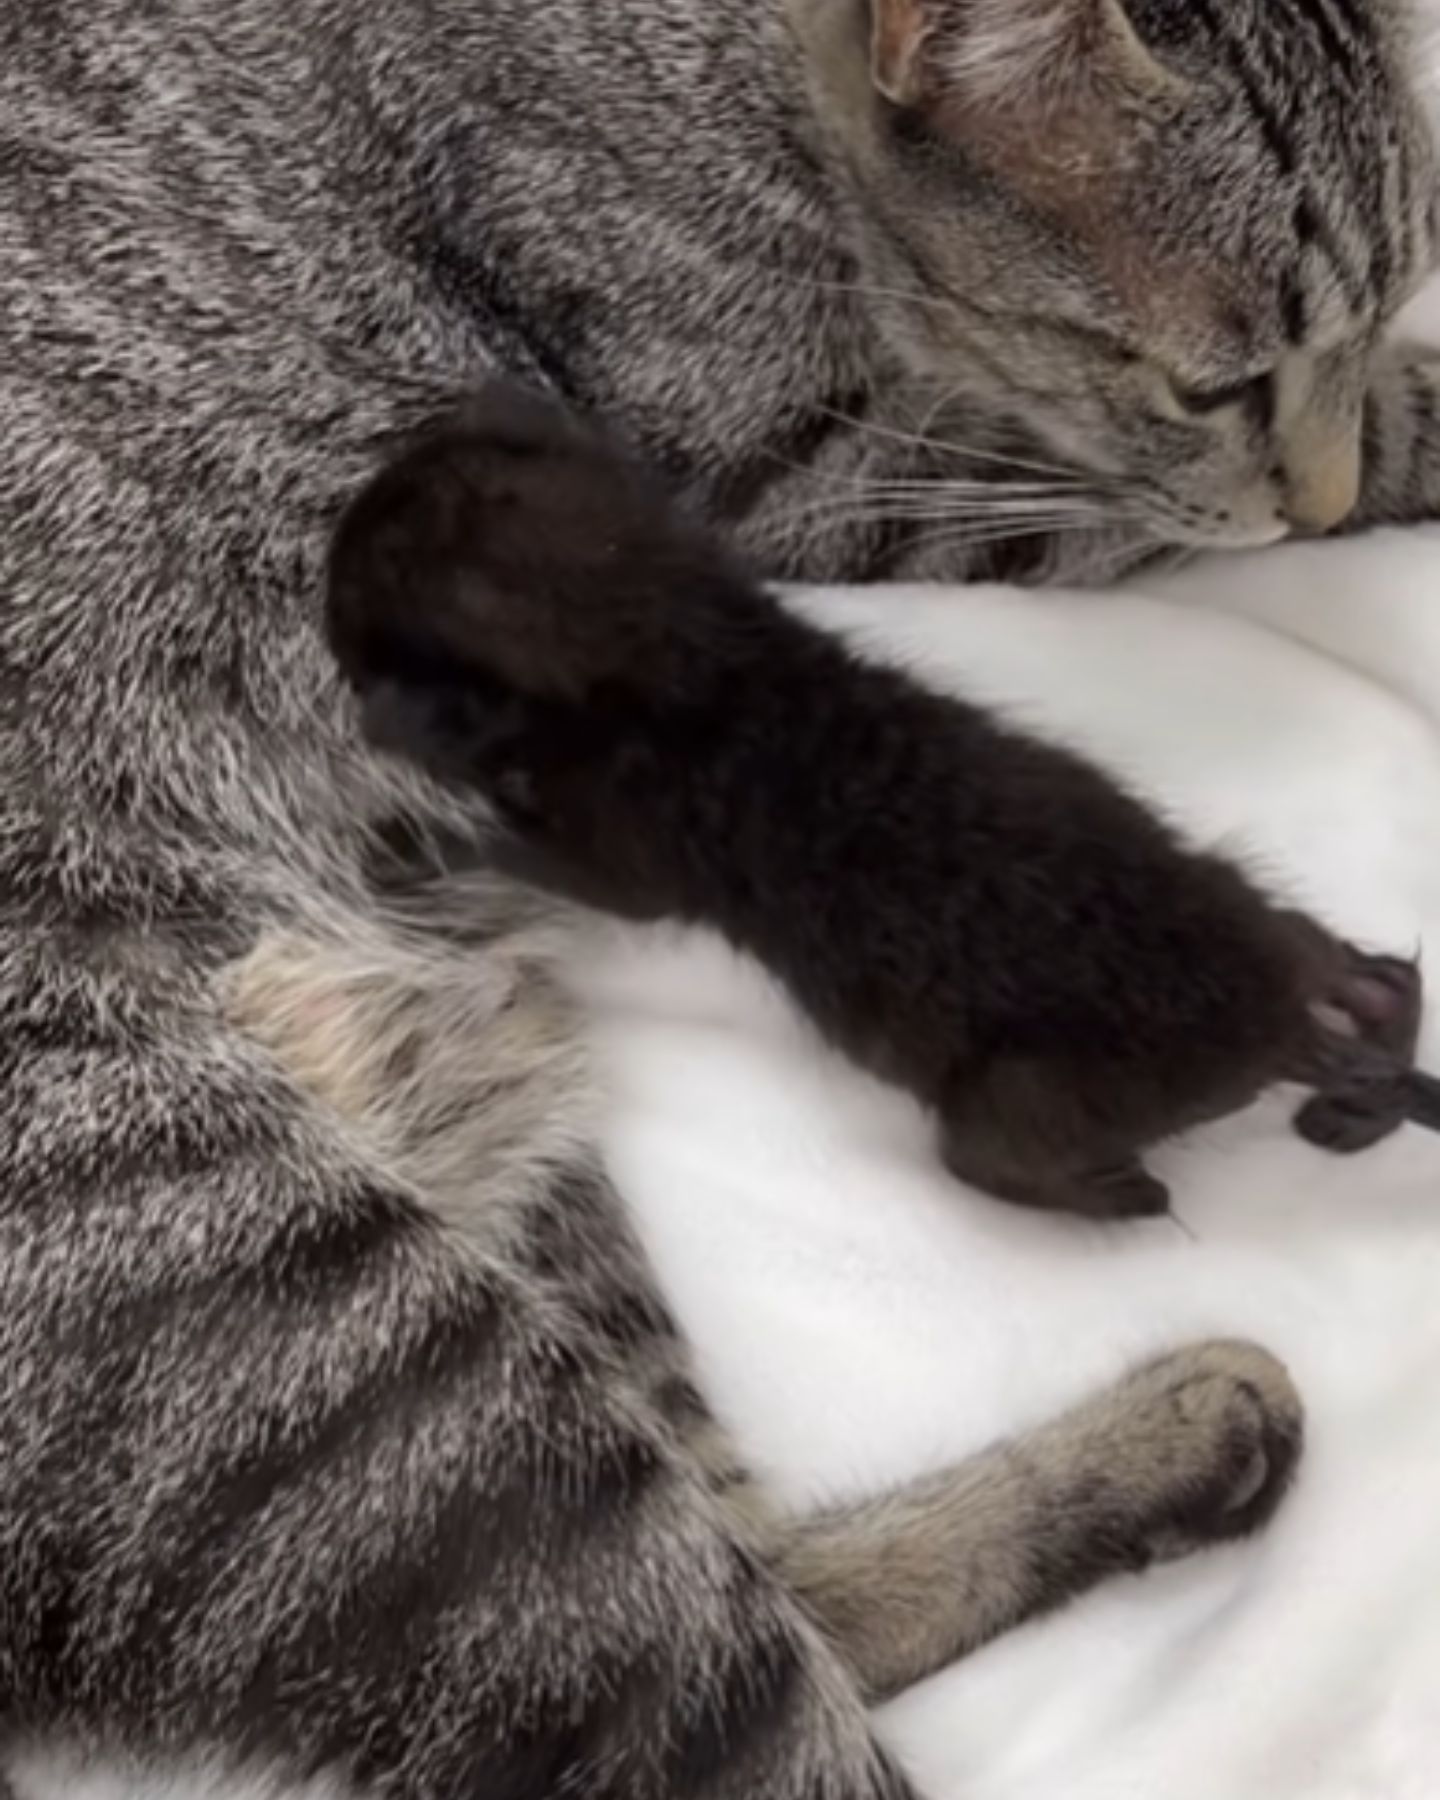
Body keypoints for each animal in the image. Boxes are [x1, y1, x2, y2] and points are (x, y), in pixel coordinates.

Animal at [329, 385, 1440, 1216]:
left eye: (349, 598)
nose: (330, 634)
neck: (712, 645)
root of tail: (1277, 1026)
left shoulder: (634, 847)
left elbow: (528, 841)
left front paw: (420, 805)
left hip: (1019, 1093)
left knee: (999, 1159)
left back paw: (1124, 1192)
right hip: (1251, 904)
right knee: (1371, 970)